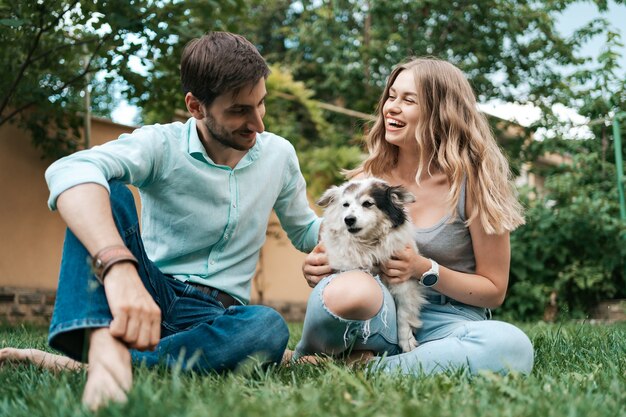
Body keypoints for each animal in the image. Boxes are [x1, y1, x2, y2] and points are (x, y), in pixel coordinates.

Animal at [316, 176, 424, 352]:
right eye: (345, 205)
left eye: (367, 203)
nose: (348, 219)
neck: (368, 246)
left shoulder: (404, 283)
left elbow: (403, 314)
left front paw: (406, 341)